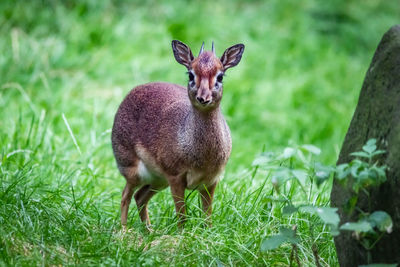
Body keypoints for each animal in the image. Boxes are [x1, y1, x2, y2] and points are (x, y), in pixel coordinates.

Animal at [111, 40, 245, 228]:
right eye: (190, 75)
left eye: (220, 76)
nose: (203, 98)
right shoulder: (176, 177)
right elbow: (182, 215)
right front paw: (182, 234)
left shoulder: (211, 181)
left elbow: (207, 215)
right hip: (133, 170)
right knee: (125, 196)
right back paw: (124, 231)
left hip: (158, 180)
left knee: (140, 197)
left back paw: (149, 231)